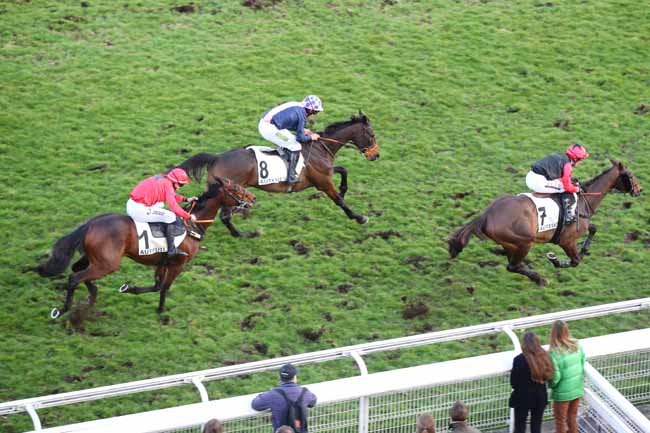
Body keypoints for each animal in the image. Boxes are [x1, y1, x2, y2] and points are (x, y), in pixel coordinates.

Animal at [34, 177, 253, 316]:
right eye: (235, 188)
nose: (253, 198)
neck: (192, 225)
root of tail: (91, 224)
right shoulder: (178, 264)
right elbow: (164, 287)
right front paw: (161, 311)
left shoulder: (162, 262)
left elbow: (156, 286)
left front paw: (129, 288)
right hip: (107, 263)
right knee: (74, 278)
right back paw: (64, 309)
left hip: (93, 258)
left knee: (77, 270)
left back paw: (92, 295)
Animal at [177, 111, 380, 236]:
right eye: (371, 135)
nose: (376, 155)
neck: (320, 148)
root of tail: (216, 158)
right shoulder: (322, 181)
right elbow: (338, 200)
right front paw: (359, 217)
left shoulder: (325, 173)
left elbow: (343, 170)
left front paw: (344, 190)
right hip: (230, 191)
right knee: (225, 216)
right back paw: (247, 234)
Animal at [446, 160, 636, 286]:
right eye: (631, 175)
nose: (639, 189)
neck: (583, 200)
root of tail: (487, 214)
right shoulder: (566, 240)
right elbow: (575, 261)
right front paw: (556, 260)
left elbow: (594, 228)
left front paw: (585, 249)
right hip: (524, 242)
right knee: (513, 266)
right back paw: (540, 279)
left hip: (510, 243)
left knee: (514, 266)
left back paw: (537, 278)